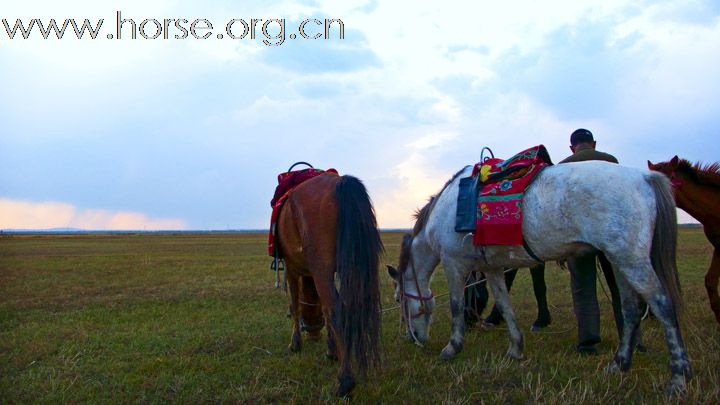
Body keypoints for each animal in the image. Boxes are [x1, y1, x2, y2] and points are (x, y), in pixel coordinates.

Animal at [276, 170, 382, 394]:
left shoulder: (292, 268)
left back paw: (345, 380)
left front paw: (295, 344)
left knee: (338, 311)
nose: (314, 333)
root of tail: (340, 182)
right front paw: (331, 350)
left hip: (321, 270)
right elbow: (324, 308)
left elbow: (295, 305)